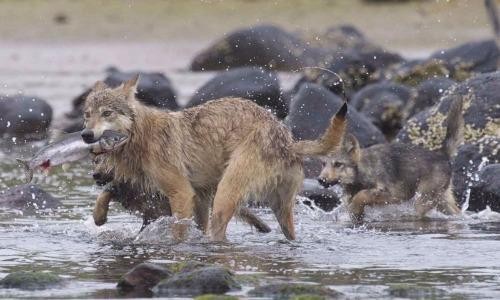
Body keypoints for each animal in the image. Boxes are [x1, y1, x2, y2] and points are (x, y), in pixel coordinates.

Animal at [82, 75, 348, 241]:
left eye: (107, 113)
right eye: (86, 115)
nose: (85, 135)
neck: (141, 136)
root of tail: (288, 141)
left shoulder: (181, 194)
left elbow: (179, 232)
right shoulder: (198, 198)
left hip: (224, 197)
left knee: (219, 236)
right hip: (279, 210)